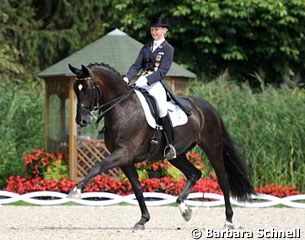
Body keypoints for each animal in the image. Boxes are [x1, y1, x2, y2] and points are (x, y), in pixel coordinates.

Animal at [67, 62, 254, 230]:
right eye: (76, 88)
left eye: (88, 88)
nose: (81, 121)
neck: (122, 107)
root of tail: (208, 107)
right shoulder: (125, 160)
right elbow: (137, 188)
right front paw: (143, 220)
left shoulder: (124, 153)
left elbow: (97, 166)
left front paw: (76, 190)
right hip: (177, 155)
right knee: (194, 173)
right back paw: (184, 210)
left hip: (212, 147)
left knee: (222, 179)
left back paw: (228, 221)